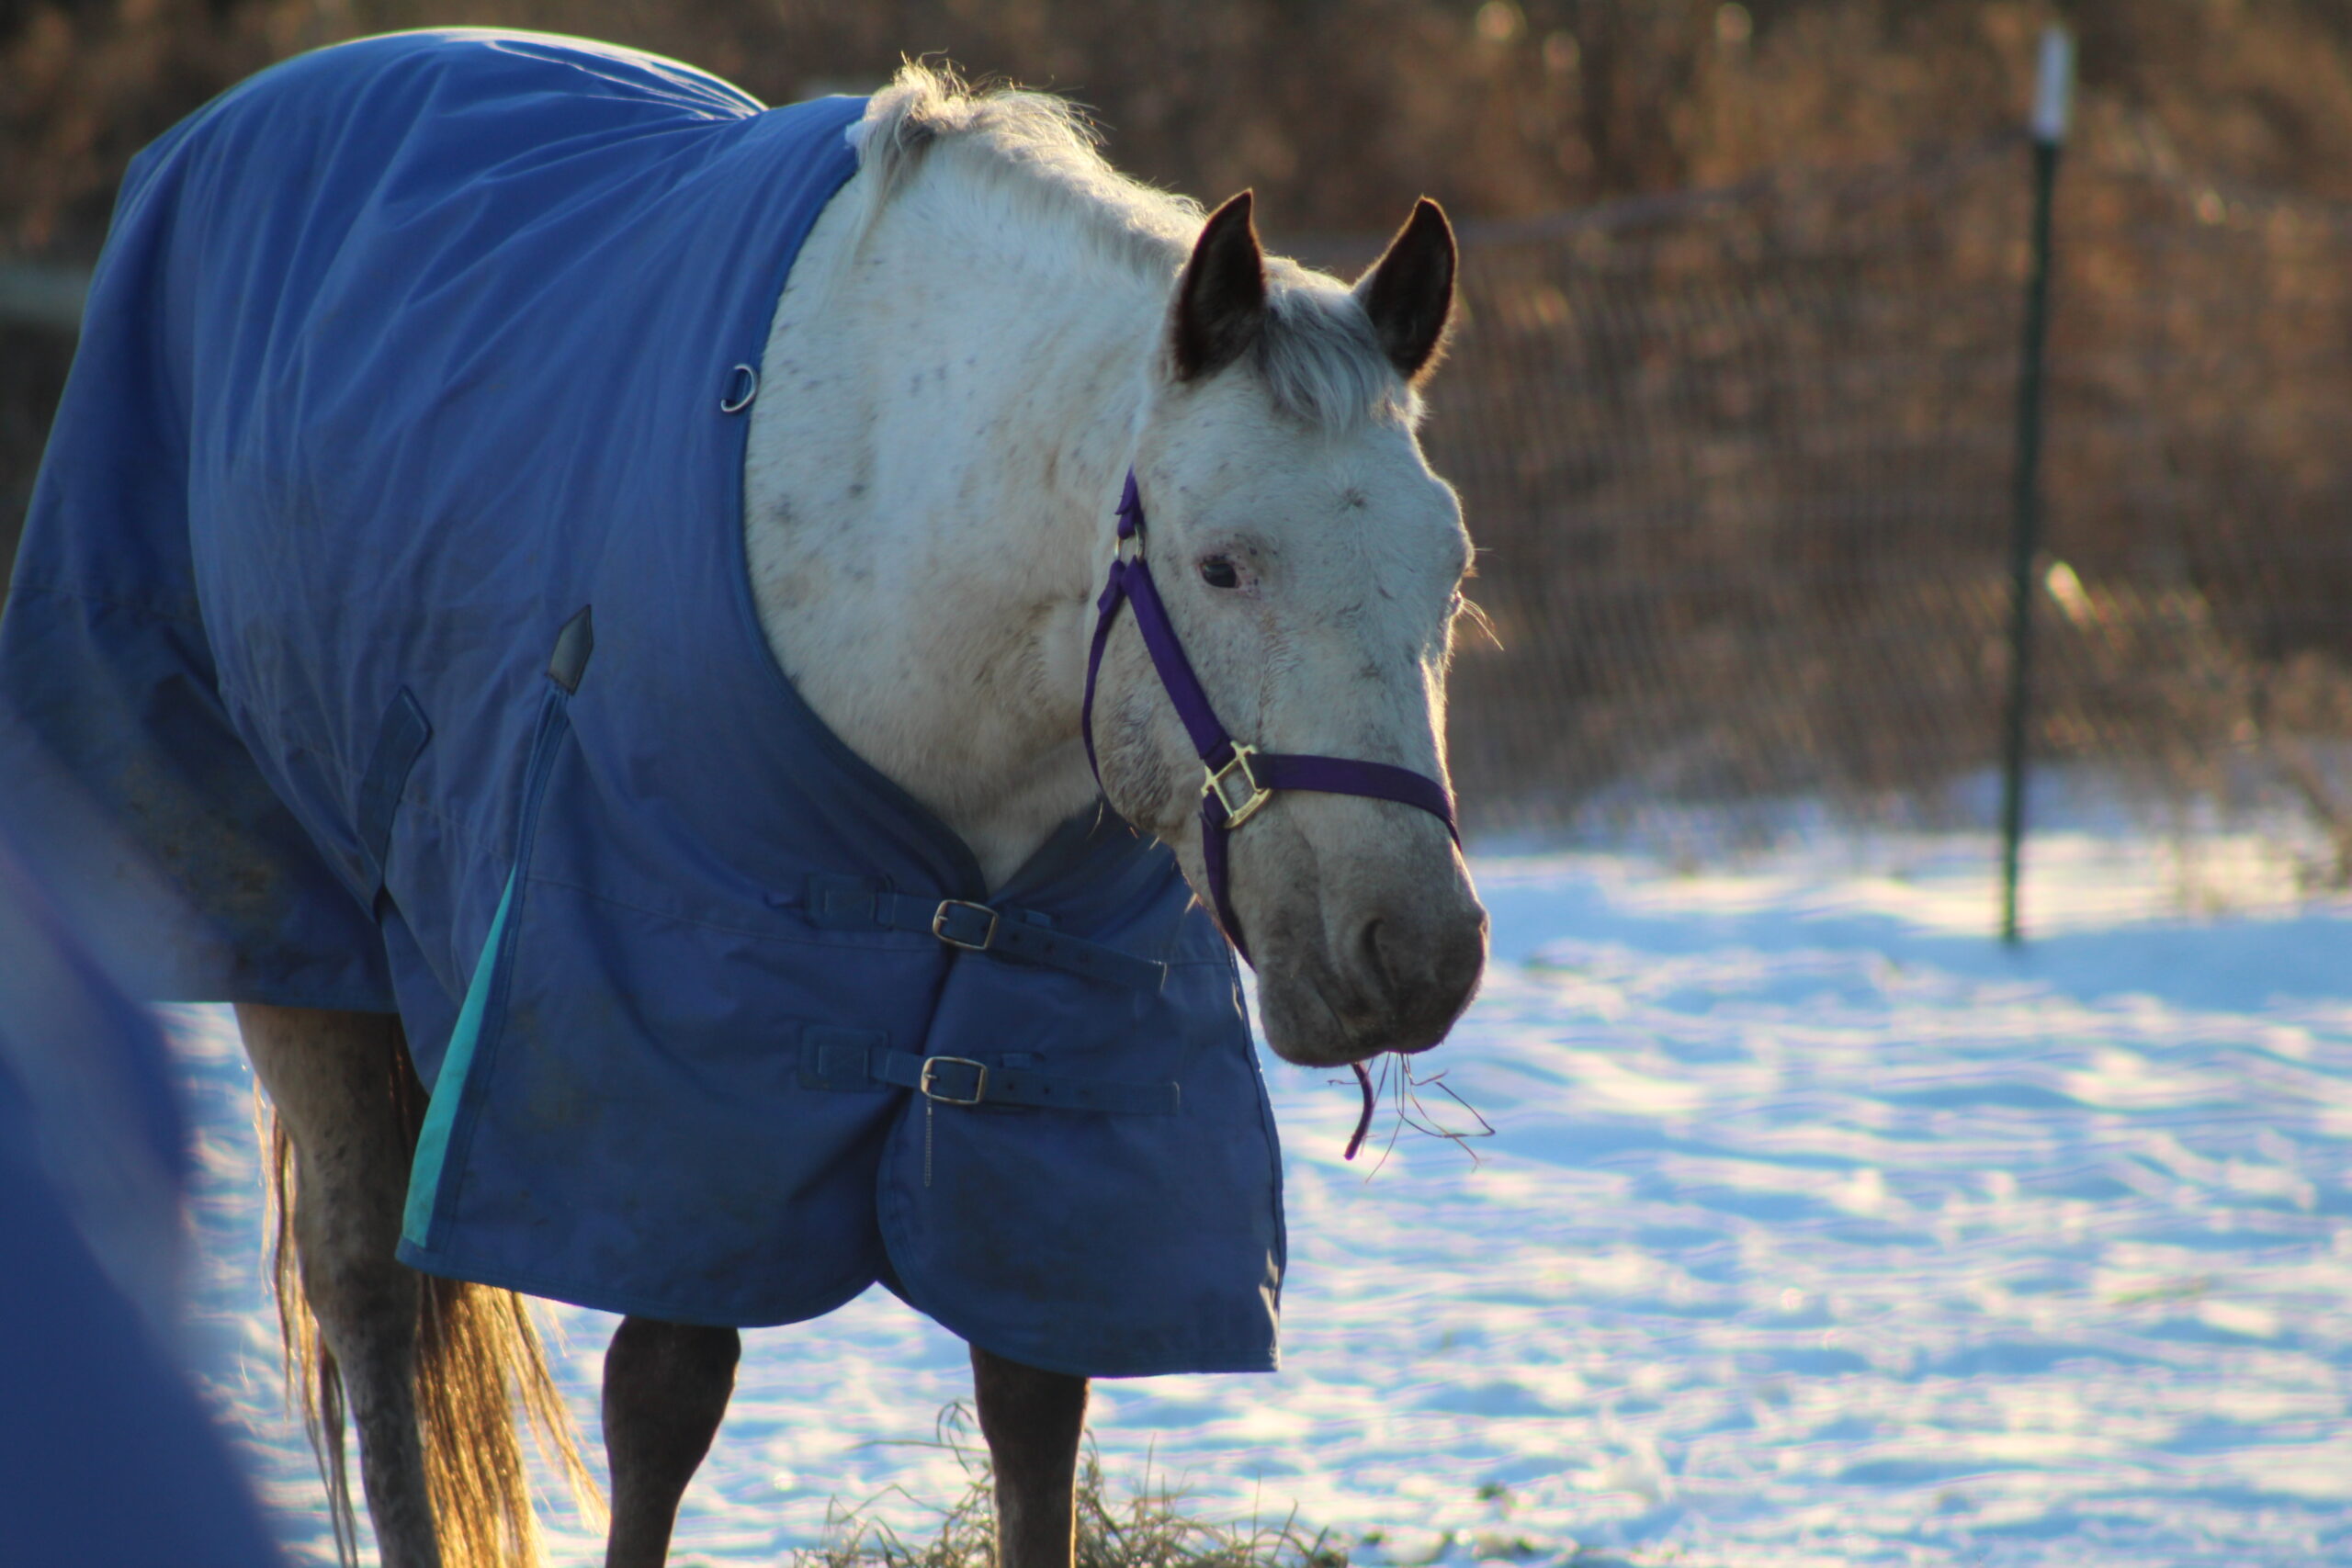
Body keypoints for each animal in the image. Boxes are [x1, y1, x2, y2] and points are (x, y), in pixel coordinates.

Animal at [0, 31, 1485, 1568]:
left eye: (1451, 571)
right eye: (1222, 564)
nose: (1415, 953)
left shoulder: (1056, 1070)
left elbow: (1031, 1405)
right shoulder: (677, 1068)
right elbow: (660, 1397)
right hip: (298, 946)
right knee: (368, 1295)